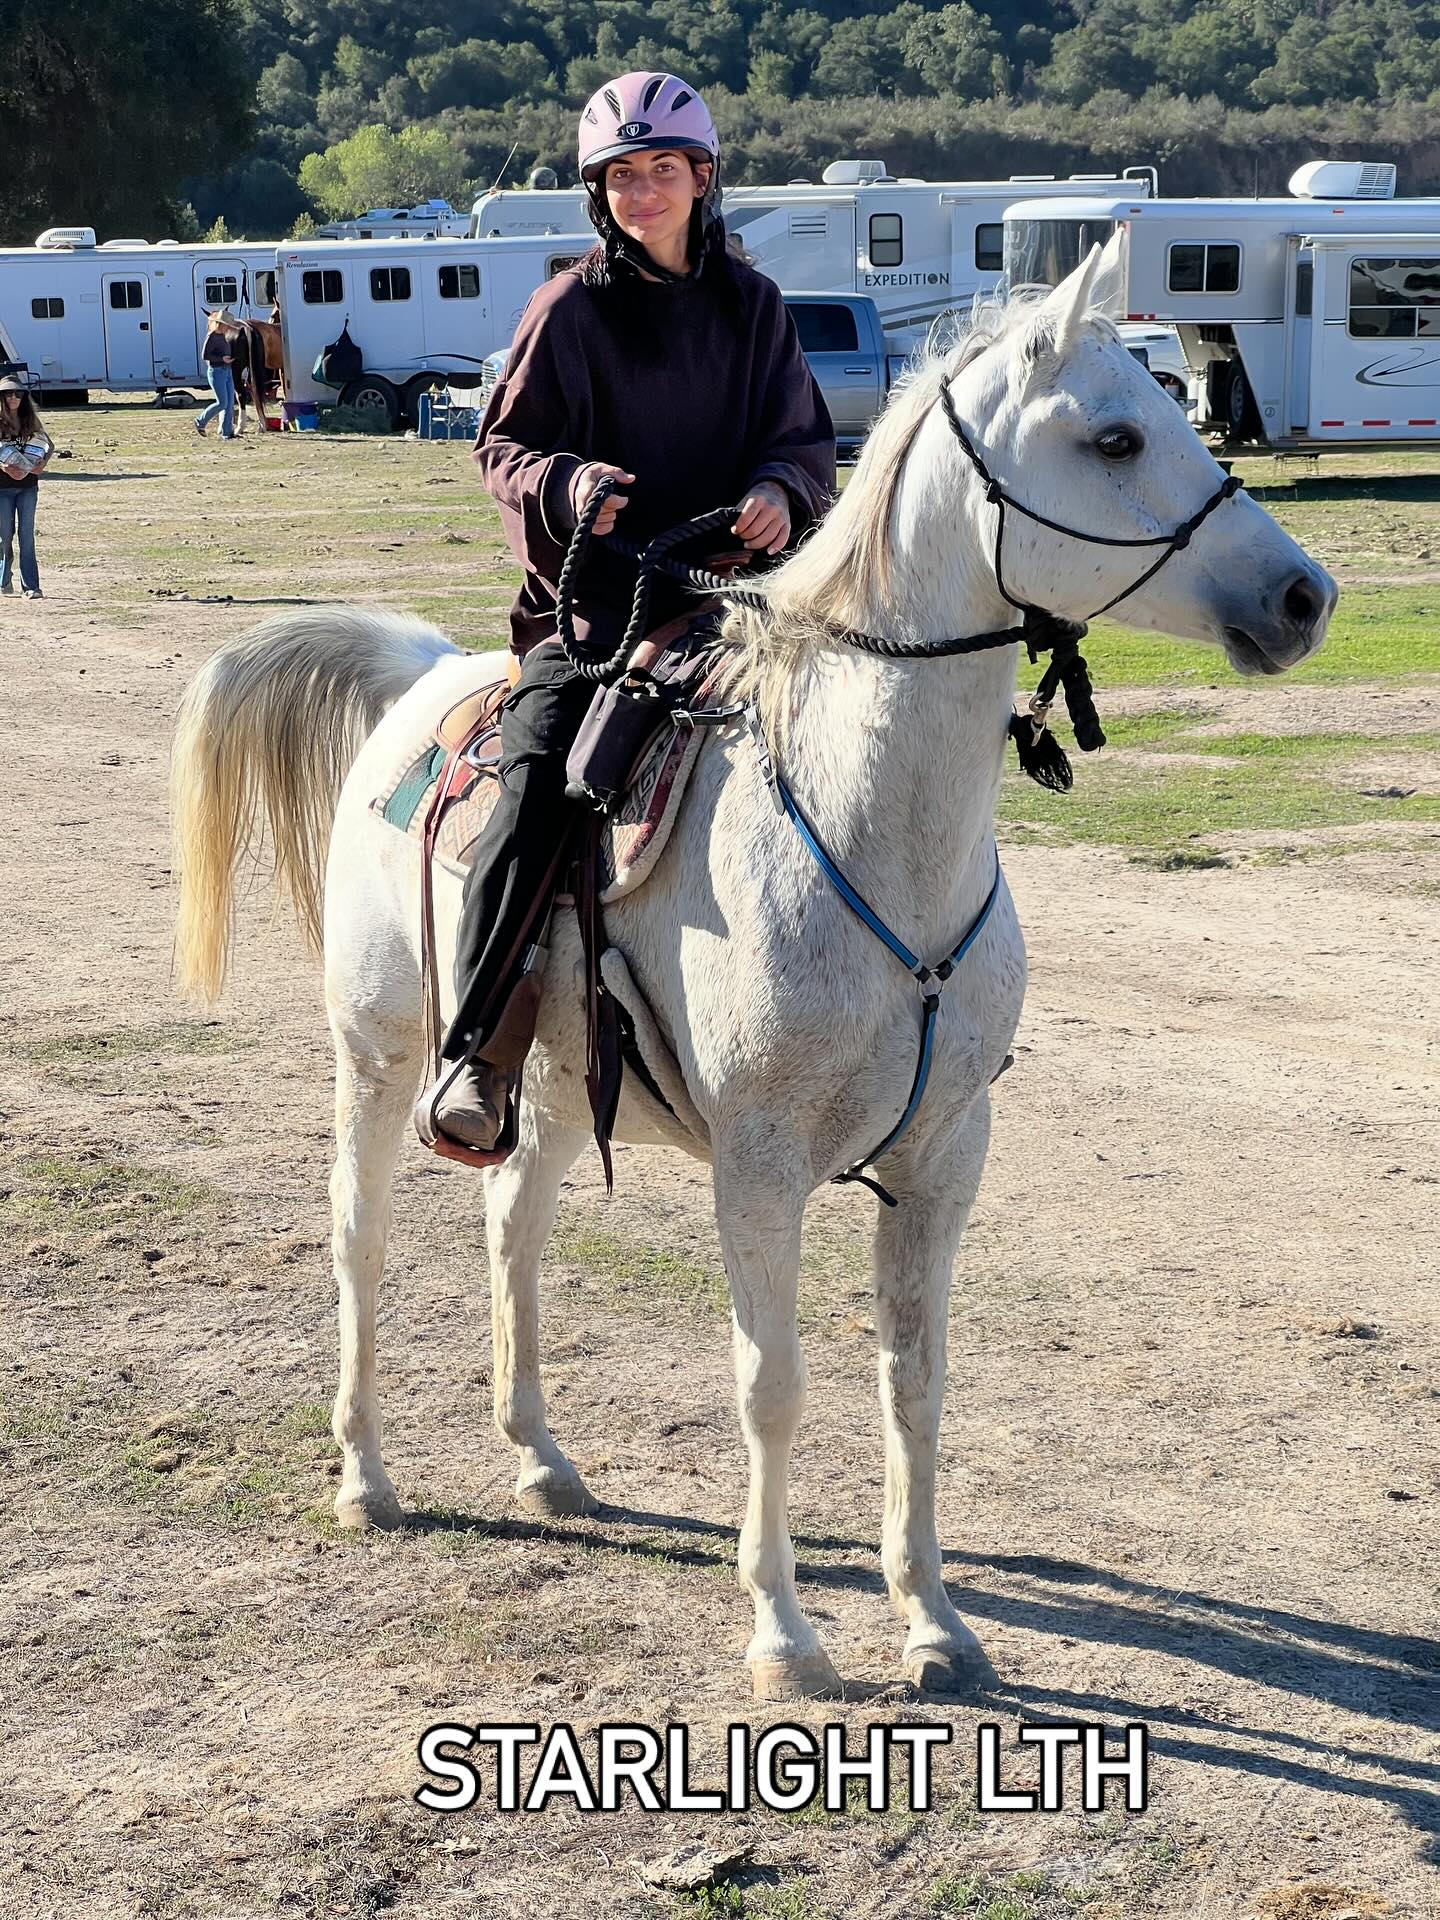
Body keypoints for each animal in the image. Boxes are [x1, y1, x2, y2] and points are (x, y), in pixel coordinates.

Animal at [170, 245, 1335, 1702]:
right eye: (1115, 437)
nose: (1303, 597)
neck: (870, 829)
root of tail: (425, 679)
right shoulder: (761, 1166)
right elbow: (770, 1386)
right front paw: (784, 1629)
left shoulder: (946, 1158)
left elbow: (915, 1383)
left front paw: (934, 1621)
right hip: (380, 1058)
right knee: (359, 1237)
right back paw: (366, 1477)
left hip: (552, 1083)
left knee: (514, 1227)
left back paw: (542, 1460)